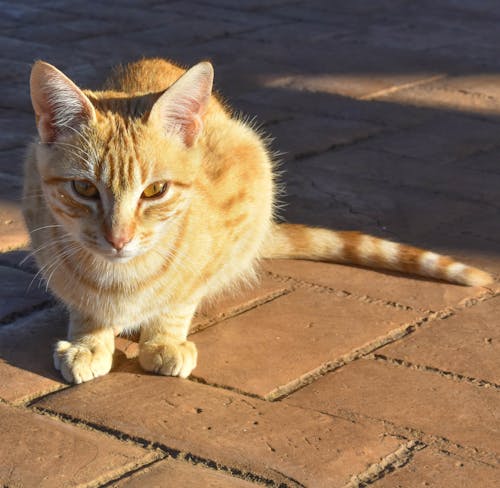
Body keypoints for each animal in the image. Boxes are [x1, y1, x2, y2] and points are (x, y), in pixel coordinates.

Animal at [22, 58, 492, 386]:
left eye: (155, 191)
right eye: (84, 189)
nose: (119, 238)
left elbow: (179, 300)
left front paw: (164, 341)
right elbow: (84, 303)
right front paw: (88, 339)